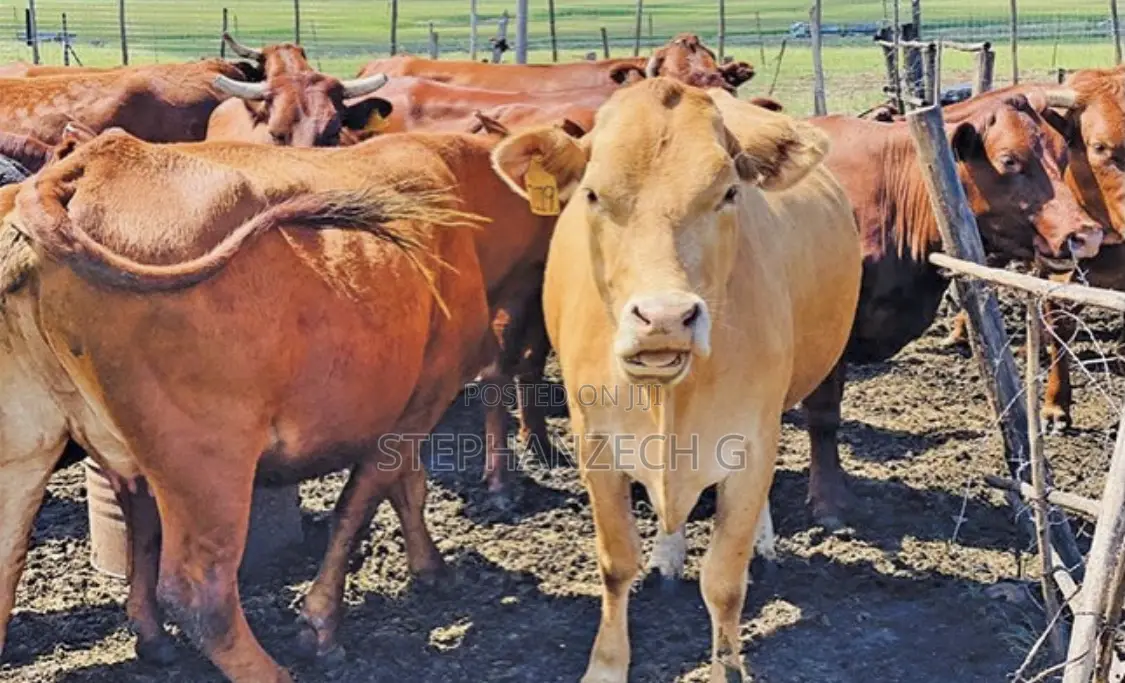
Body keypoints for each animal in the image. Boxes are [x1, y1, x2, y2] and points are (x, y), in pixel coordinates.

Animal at [0, 125, 564, 681]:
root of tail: (91, 162)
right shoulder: (425, 395)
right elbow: (360, 503)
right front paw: (321, 626)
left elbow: (407, 487)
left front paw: (429, 569)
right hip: (207, 459)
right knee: (200, 593)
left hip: (27, 456)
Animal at [490, 78, 861, 682]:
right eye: (592, 194)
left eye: (729, 193)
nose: (664, 317)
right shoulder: (596, 443)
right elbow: (617, 563)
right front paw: (606, 664)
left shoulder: (752, 443)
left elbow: (724, 581)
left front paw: (727, 668)